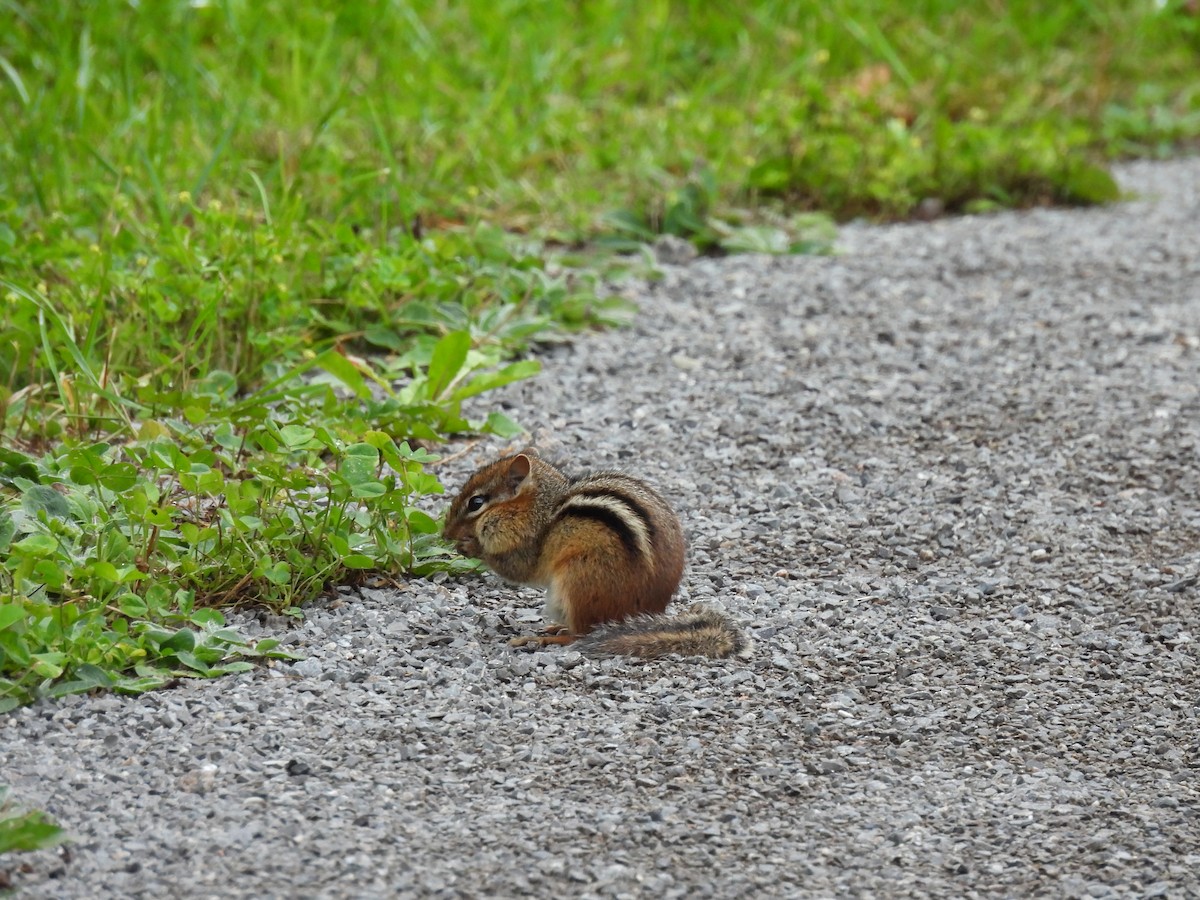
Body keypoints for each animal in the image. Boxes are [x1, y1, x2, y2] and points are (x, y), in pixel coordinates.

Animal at [442, 451, 751, 659]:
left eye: (476, 503)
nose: (445, 534)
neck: (543, 508)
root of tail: (645, 615)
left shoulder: (528, 542)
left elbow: (518, 568)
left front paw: (470, 547)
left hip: (578, 581)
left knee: (581, 634)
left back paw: (546, 639)